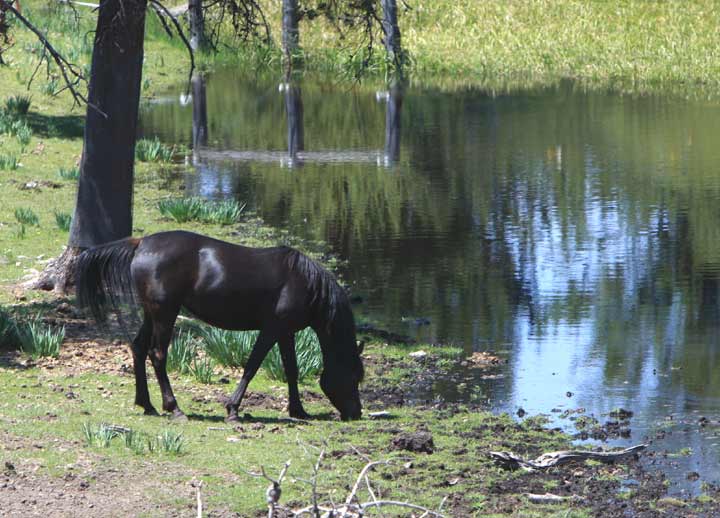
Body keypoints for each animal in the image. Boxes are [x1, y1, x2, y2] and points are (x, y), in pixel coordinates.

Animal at [76, 232, 362, 422]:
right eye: (354, 376)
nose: (355, 413)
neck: (305, 282)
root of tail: (142, 243)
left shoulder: (285, 332)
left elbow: (291, 369)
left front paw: (299, 411)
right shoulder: (271, 330)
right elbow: (252, 366)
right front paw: (233, 410)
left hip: (152, 313)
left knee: (138, 348)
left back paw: (147, 404)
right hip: (165, 314)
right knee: (157, 355)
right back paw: (174, 408)